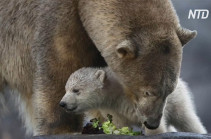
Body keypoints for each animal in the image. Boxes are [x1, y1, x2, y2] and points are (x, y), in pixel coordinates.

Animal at [0, 0, 199, 136]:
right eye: (148, 92)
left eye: (169, 90)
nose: (152, 123)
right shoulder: (57, 21)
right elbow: (59, 73)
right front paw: (63, 128)